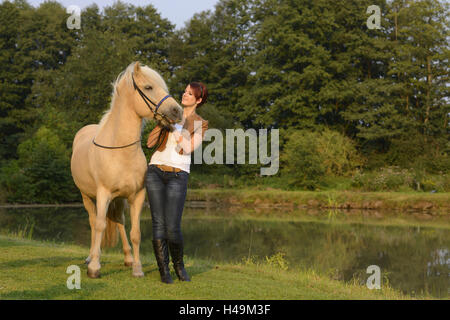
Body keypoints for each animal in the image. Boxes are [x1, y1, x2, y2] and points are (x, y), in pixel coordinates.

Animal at [71, 62, 183, 278]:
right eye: (148, 87)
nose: (177, 111)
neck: (120, 151)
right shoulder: (103, 194)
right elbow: (99, 225)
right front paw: (94, 268)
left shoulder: (137, 196)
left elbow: (135, 233)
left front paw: (137, 268)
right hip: (87, 196)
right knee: (93, 221)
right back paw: (91, 257)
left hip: (119, 200)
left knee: (119, 222)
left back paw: (128, 258)